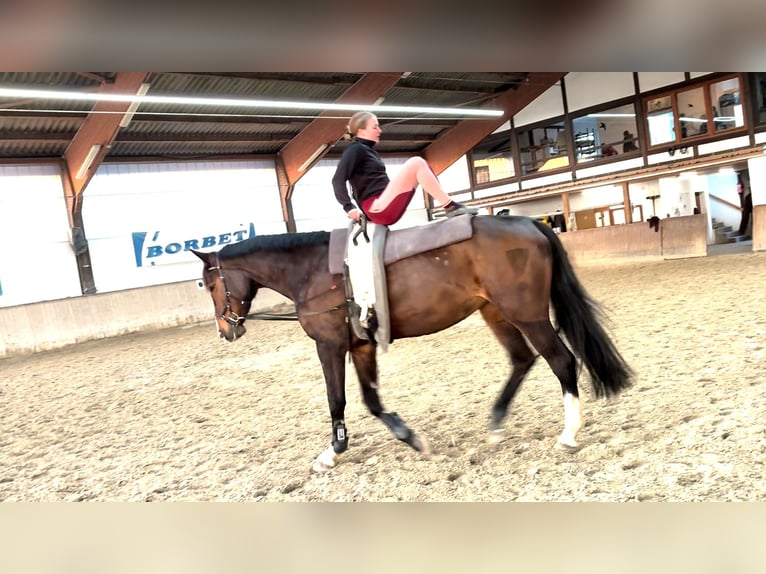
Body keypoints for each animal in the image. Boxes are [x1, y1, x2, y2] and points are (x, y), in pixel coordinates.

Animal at [193, 214, 632, 473]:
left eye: (210, 284)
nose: (225, 330)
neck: (312, 270)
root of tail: (529, 222)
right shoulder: (362, 346)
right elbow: (371, 401)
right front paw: (413, 439)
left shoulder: (329, 345)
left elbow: (337, 400)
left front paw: (331, 453)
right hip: (496, 313)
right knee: (522, 360)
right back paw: (495, 424)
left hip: (528, 316)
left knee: (562, 361)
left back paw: (568, 433)